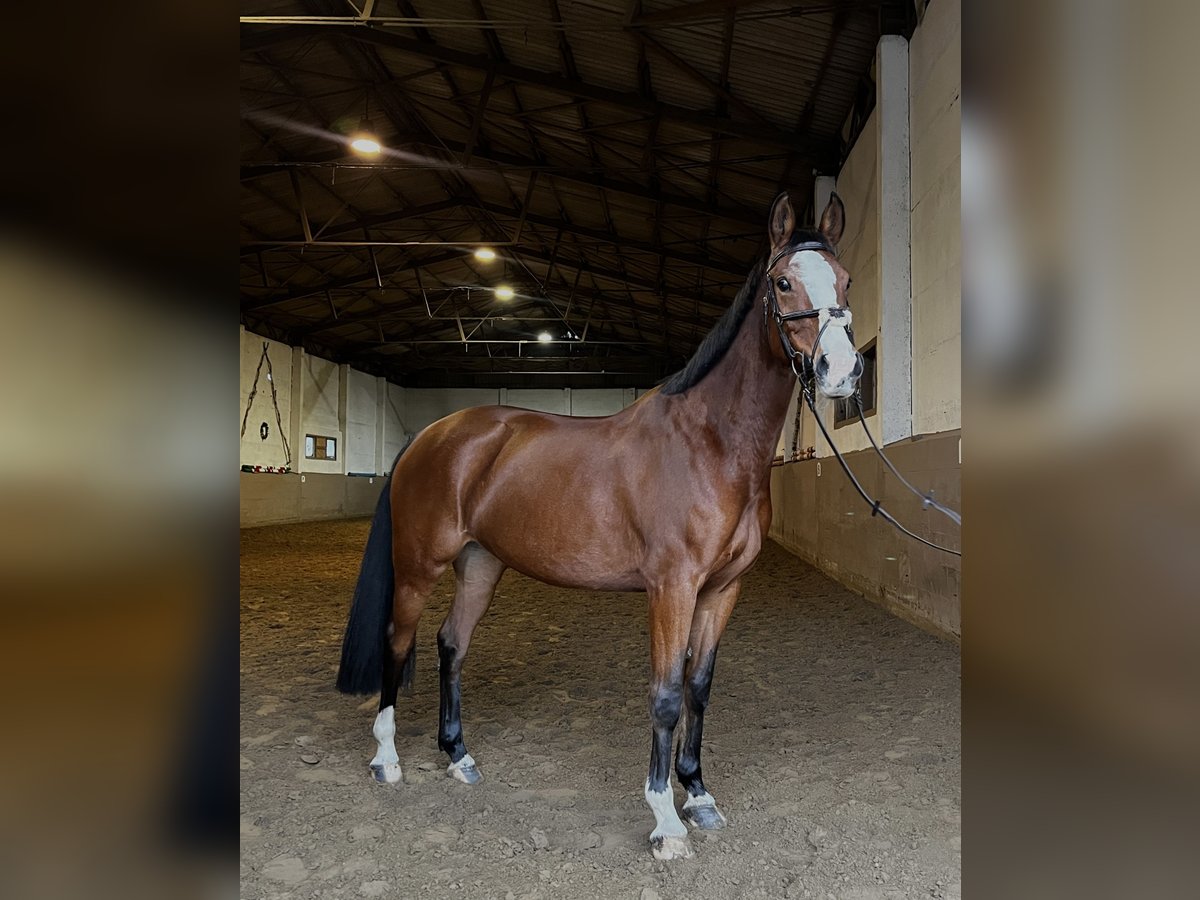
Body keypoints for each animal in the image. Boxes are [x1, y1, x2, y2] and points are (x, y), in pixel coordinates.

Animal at [338, 192, 864, 859]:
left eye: (845, 280)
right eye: (784, 282)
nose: (840, 370)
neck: (710, 443)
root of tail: (431, 434)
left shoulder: (722, 589)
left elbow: (699, 687)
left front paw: (699, 794)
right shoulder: (672, 588)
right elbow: (666, 696)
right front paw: (666, 821)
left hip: (481, 564)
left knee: (451, 644)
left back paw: (458, 756)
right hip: (417, 566)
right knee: (397, 641)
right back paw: (387, 760)